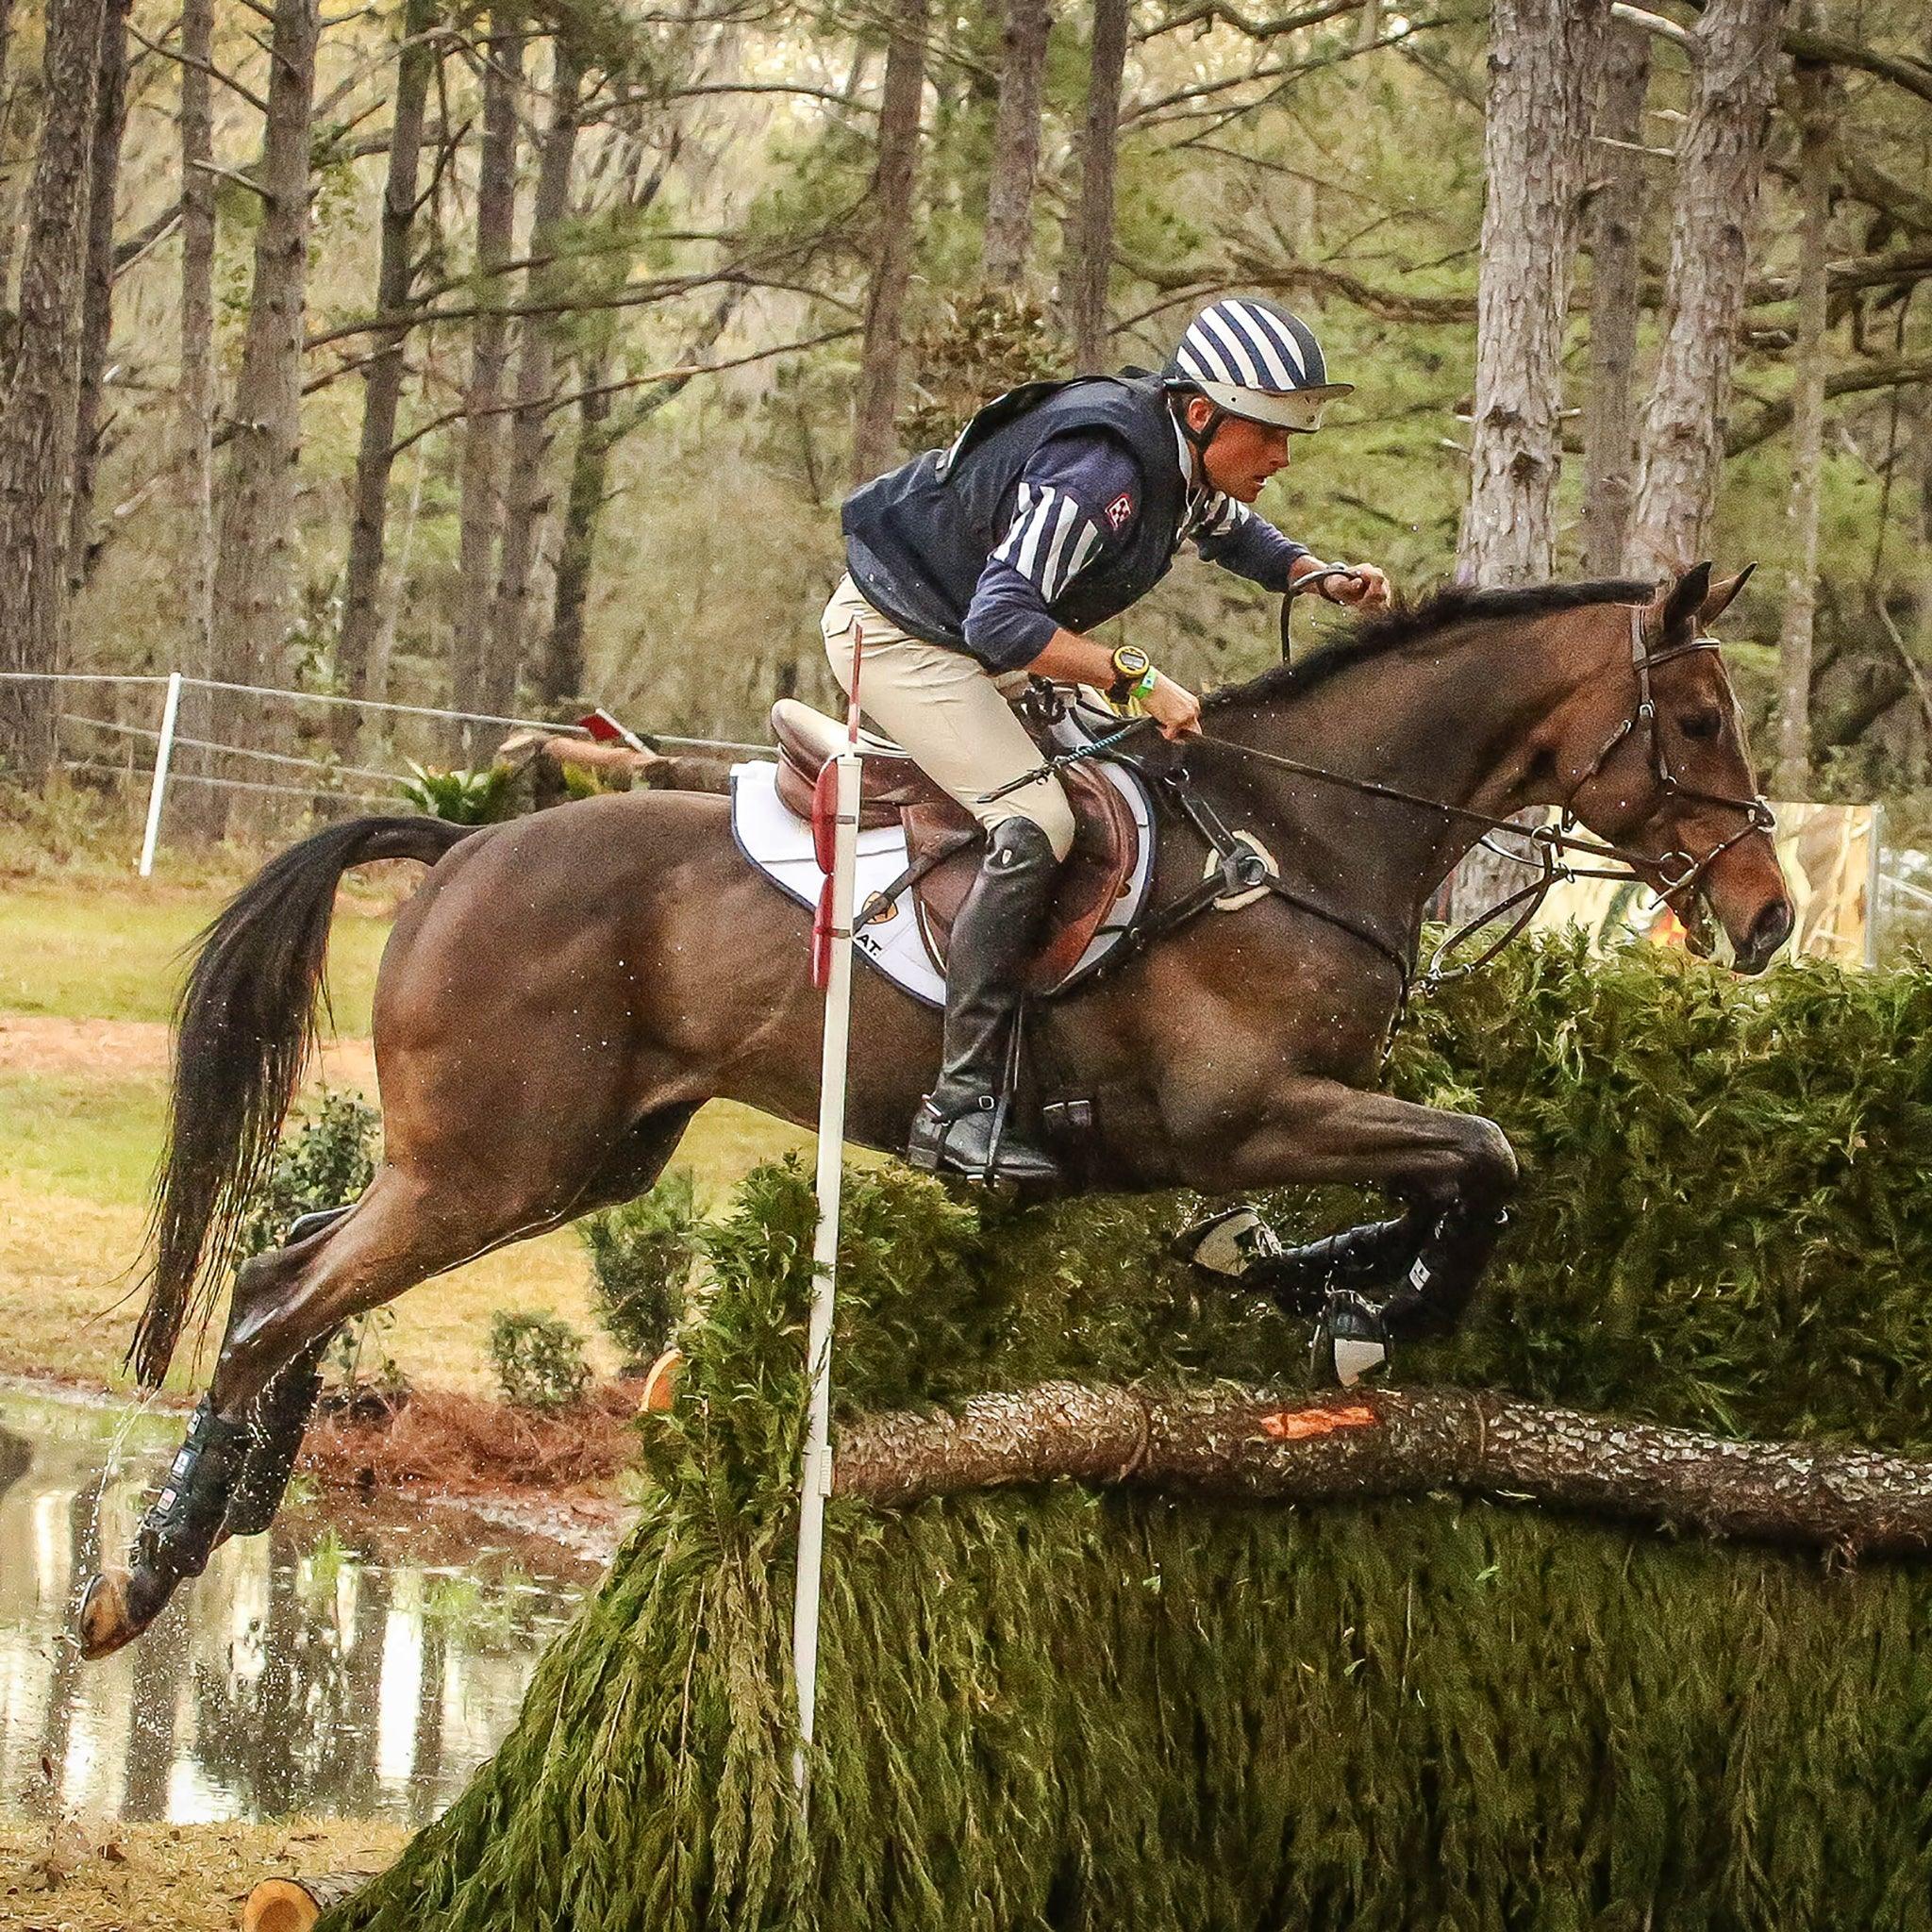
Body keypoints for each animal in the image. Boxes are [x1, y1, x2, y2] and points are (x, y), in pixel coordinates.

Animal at [78, 562, 1793, 1659]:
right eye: (1702, 725)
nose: (1770, 916)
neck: (1299, 833)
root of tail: (461, 845)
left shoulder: (1282, 1123)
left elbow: (1448, 1172)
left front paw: (1322, 1282)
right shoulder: (1246, 1114)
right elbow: (1483, 1156)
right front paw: (1372, 1310)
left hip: (559, 1162)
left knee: (301, 1253)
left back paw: (242, 1496)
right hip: (496, 1162)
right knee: (278, 1287)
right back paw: (149, 1569)